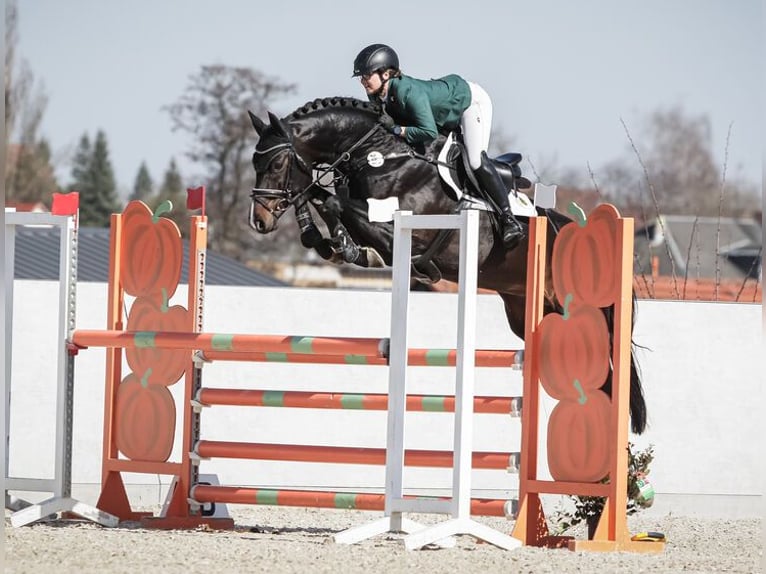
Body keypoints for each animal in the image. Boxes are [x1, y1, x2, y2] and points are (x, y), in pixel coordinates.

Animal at [246, 96, 647, 435]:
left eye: (277, 163)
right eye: (255, 163)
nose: (259, 221)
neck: (378, 155)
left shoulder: (404, 228)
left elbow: (343, 209)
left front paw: (356, 247)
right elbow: (326, 201)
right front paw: (327, 240)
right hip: (530, 313)